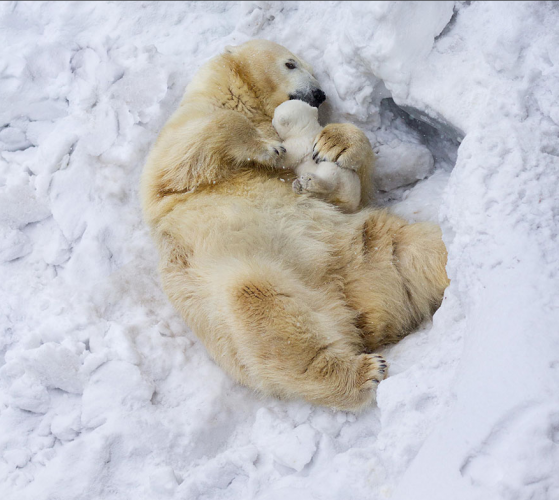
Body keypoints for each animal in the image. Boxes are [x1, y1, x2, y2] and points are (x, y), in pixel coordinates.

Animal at [141, 39, 450, 412]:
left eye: (313, 71)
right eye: (291, 63)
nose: (319, 94)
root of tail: (357, 310)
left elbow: (354, 193)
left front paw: (335, 142)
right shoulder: (179, 139)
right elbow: (188, 151)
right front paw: (268, 147)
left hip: (370, 247)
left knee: (423, 249)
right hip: (248, 281)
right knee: (260, 304)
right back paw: (363, 372)